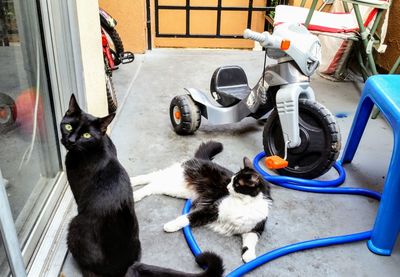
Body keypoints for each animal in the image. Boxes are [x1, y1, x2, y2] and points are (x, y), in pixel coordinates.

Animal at [61, 94, 225, 274]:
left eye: (86, 135)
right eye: (68, 126)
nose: (71, 140)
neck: (98, 146)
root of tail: (128, 265)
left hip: (73, 226)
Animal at [131, 141, 272, 262]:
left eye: (236, 184)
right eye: (231, 180)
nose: (227, 187)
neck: (245, 204)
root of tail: (203, 159)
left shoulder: (255, 228)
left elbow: (251, 242)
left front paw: (250, 256)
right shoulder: (212, 209)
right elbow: (188, 217)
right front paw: (170, 225)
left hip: (175, 188)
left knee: (153, 186)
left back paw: (135, 192)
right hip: (175, 178)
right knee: (151, 177)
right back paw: (133, 185)